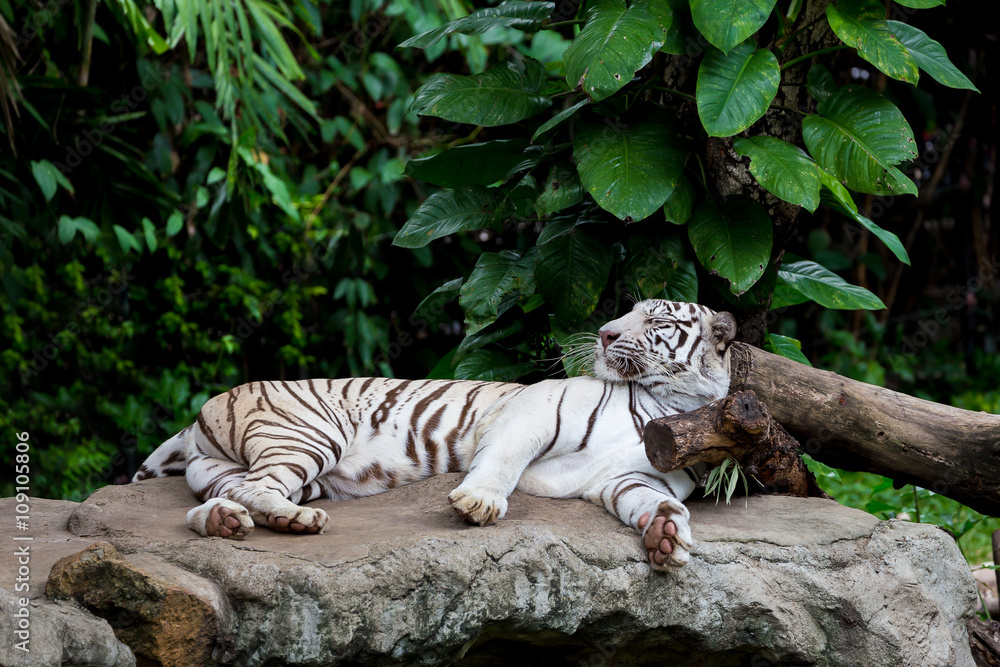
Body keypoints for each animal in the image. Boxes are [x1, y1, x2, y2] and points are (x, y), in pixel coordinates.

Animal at [132, 299, 736, 570]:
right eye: (628, 314)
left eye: (656, 322)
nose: (606, 333)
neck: (670, 403)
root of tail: (205, 409)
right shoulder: (533, 409)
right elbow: (503, 462)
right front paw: (479, 503)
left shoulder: (627, 478)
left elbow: (648, 501)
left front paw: (666, 536)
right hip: (307, 435)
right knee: (259, 486)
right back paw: (293, 520)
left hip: (238, 468)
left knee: (225, 494)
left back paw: (228, 522)